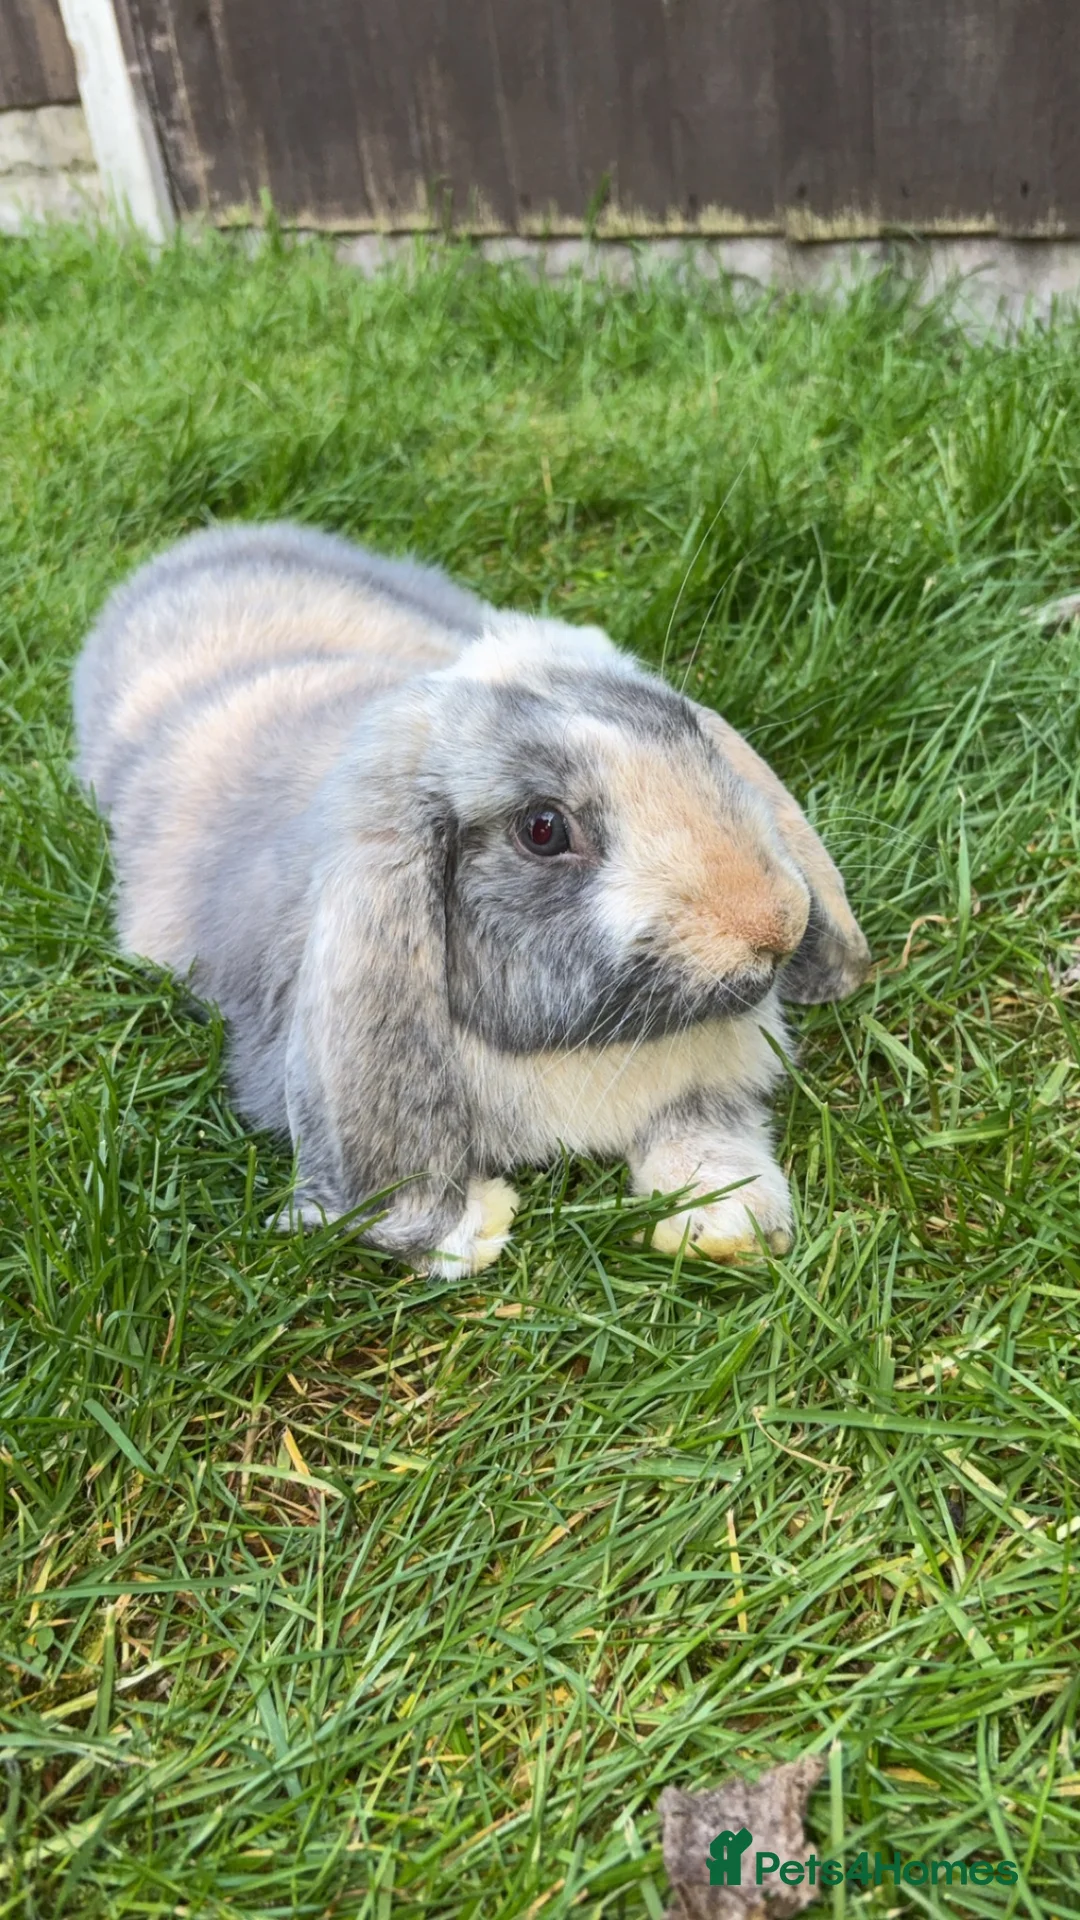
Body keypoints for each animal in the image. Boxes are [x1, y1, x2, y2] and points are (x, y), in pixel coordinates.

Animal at [73, 521, 871, 1277]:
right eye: (543, 829)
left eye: (689, 735)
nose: (776, 925)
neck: (582, 1051)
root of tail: (205, 548)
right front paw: (473, 1230)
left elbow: (703, 1128)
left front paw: (729, 1222)